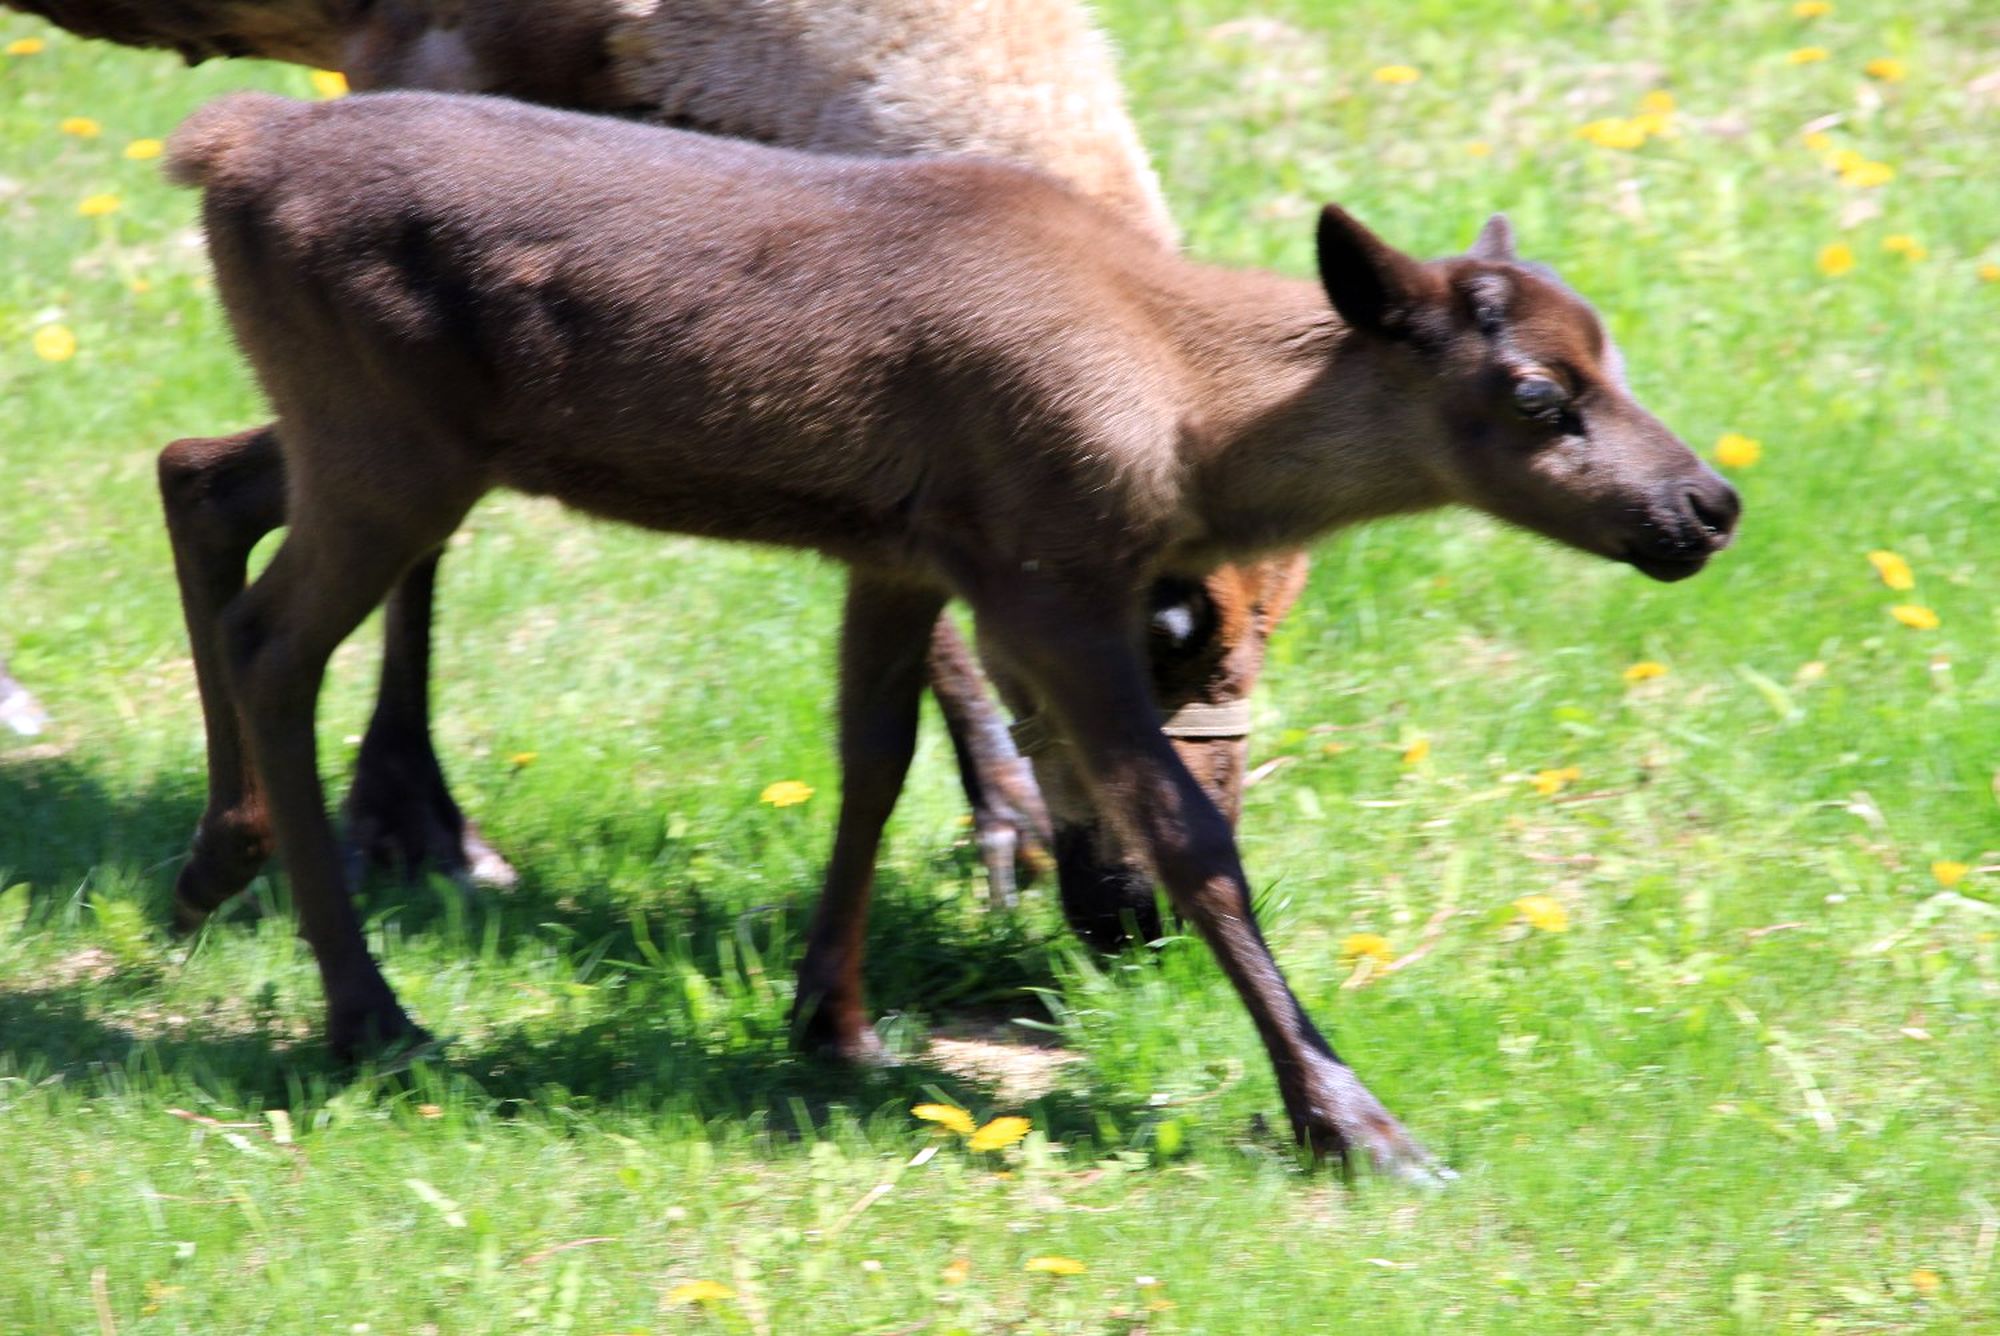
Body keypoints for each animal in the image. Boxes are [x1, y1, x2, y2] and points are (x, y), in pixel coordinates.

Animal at [168, 91, 1736, 1168]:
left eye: (1610, 346)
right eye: (1536, 393)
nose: (1705, 504)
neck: (1188, 423)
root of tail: (222, 150)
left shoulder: (899, 549)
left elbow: (871, 756)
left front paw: (836, 1021)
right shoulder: (1045, 571)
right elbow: (1185, 835)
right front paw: (1349, 1120)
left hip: (372, 432)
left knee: (197, 474)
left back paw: (211, 866)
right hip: (387, 440)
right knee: (274, 642)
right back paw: (364, 1007)